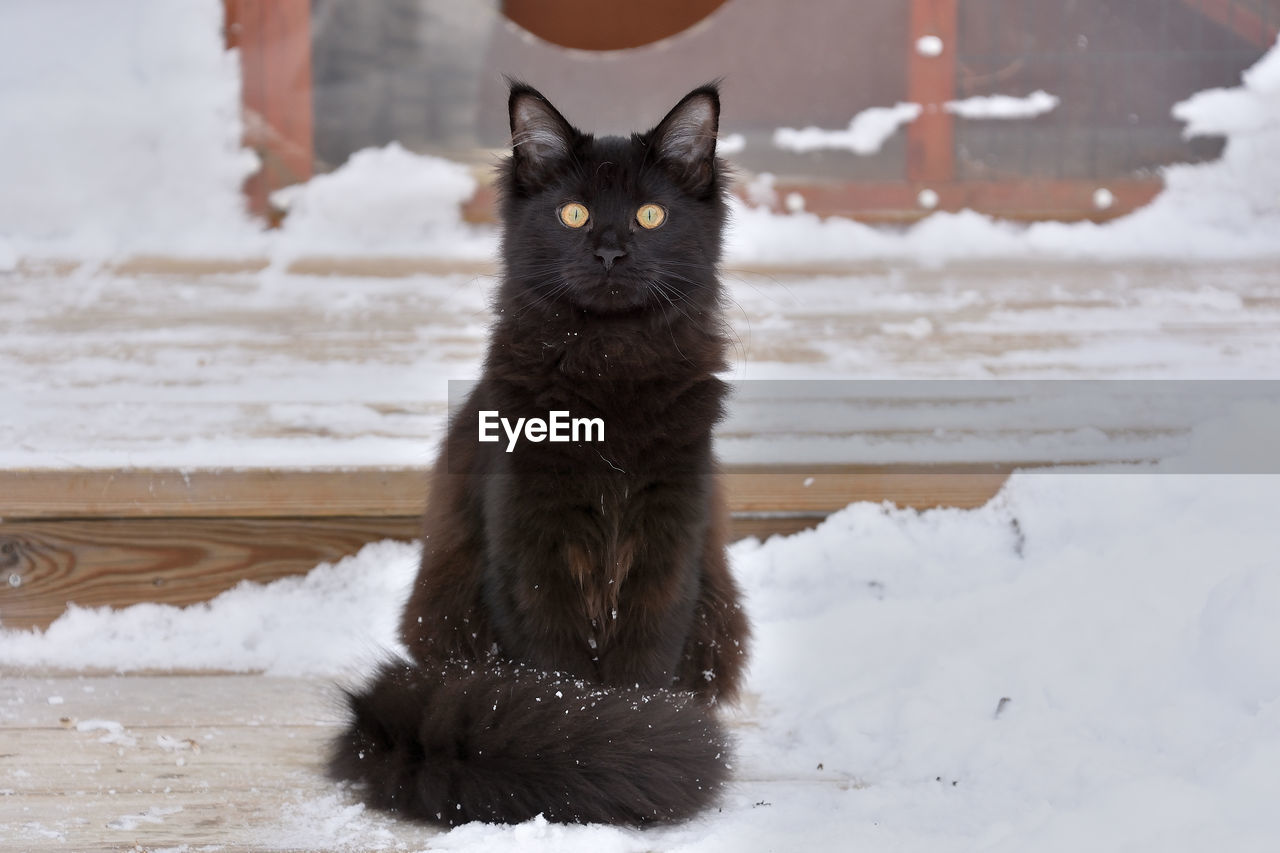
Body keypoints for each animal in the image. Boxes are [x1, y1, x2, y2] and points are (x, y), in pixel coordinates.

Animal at [327, 81, 747, 824]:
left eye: (650, 215)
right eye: (572, 213)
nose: (610, 253)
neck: (611, 377)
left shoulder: (669, 540)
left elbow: (644, 662)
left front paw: (638, 737)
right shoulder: (532, 547)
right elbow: (556, 675)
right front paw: (599, 749)